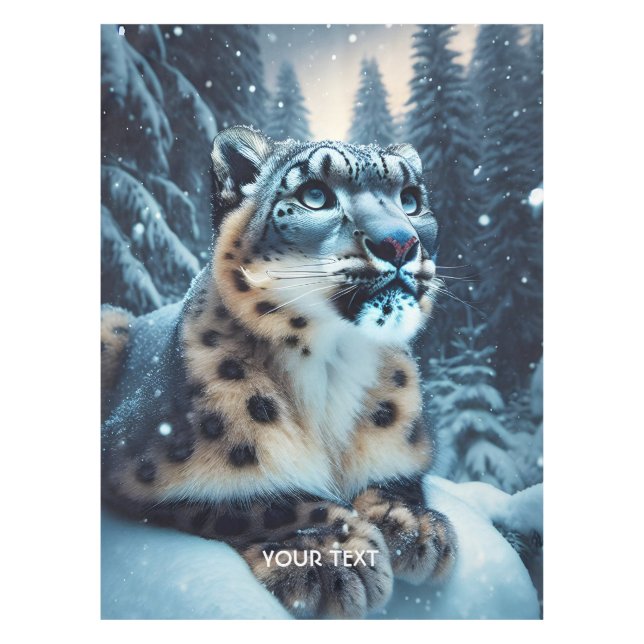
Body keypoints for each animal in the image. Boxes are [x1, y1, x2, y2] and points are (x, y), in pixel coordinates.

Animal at [101, 125, 456, 619]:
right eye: (315, 195)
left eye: (409, 199)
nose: (400, 244)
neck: (331, 369)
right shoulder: (134, 466)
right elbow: (254, 501)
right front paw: (328, 553)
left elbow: (398, 476)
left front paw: (413, 525)